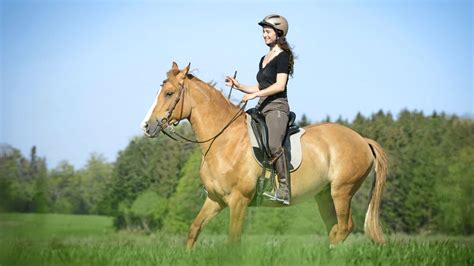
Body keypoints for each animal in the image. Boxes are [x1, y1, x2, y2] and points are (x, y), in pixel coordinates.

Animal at [139, 61, 386, 248]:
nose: (147, 126)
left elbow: (233, 240)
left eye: (169, 93)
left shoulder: (239, 201)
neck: (223, 140)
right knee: (334, 230)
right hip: (324, 196)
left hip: (341, 192)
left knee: (344, 228)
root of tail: (362, 139)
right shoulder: (215, 199)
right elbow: (194, 229)